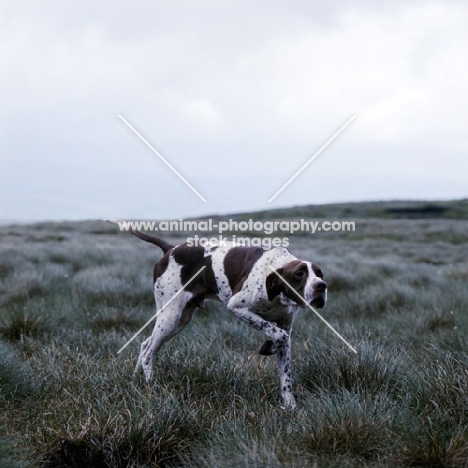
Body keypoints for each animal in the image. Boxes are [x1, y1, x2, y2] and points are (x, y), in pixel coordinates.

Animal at [109, 221, 330, 408]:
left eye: (320, 274)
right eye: (299, 274)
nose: (321, 286)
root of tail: (171, 249)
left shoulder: (285, 326)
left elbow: (285, 374)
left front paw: (290, 406)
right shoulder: (238, 307)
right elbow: (277, 334)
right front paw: (268, 346)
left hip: (180, 319)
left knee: (145, 344)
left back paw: (136, 380)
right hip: (170, 316)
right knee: (148, 352)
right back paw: (152, 387)